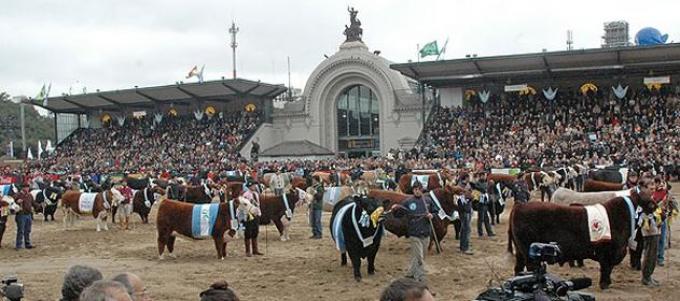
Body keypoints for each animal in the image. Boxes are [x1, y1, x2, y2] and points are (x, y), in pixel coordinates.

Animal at [508, 188, 656, 288]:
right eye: (649, 202)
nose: (657, 208)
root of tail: (520, 206)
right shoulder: (609, 252)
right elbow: (606, 268)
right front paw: (604, 284)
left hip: (521, 251)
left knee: (518, 268)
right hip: (530, 252)